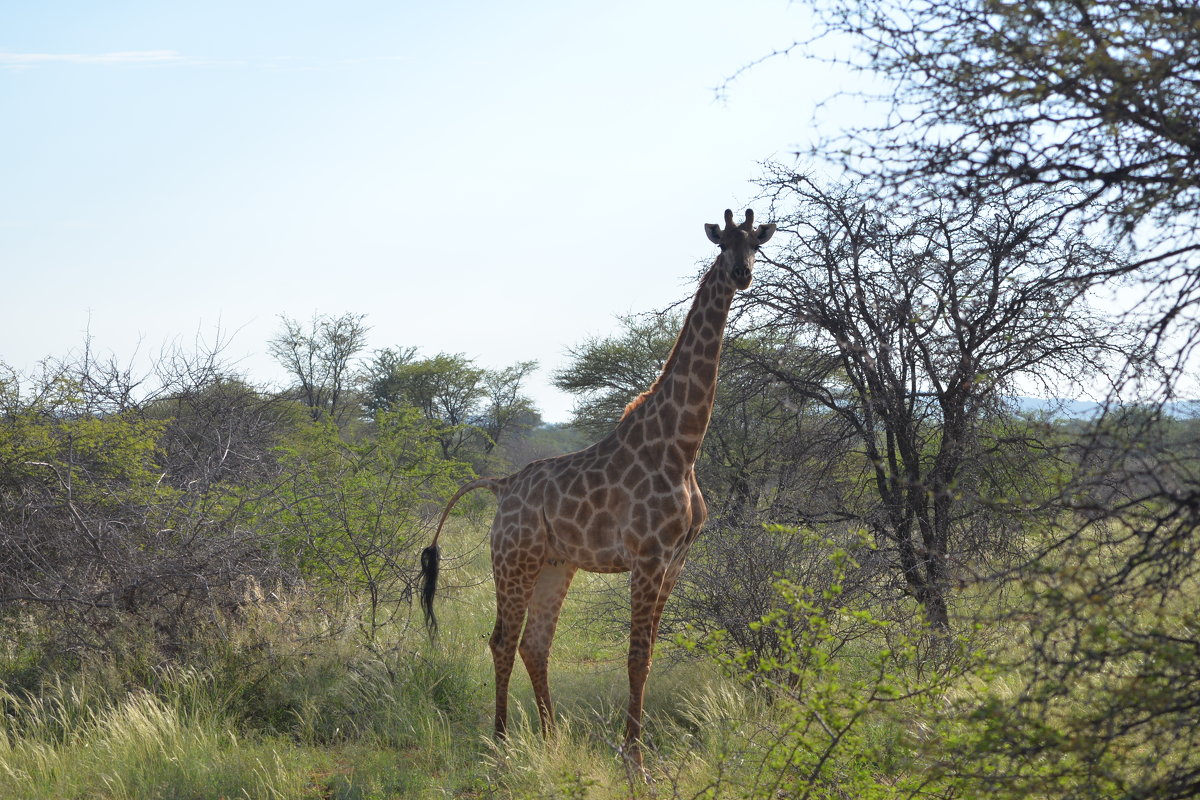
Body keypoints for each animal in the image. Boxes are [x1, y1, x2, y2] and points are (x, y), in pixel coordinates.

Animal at [422, 209, 777, 772]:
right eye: (722, 245)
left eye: (756, 245)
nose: (741, 274)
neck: (682, 447)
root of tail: (502, 485)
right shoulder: (648, 556)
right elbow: (634, 658)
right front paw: (635, 760)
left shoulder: (676, 559)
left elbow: (647, 656)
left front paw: (635, 751)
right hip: (513, 559)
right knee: (502, 640)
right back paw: (501, 744)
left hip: (555, 564)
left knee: (534, 644)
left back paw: (550, 738)